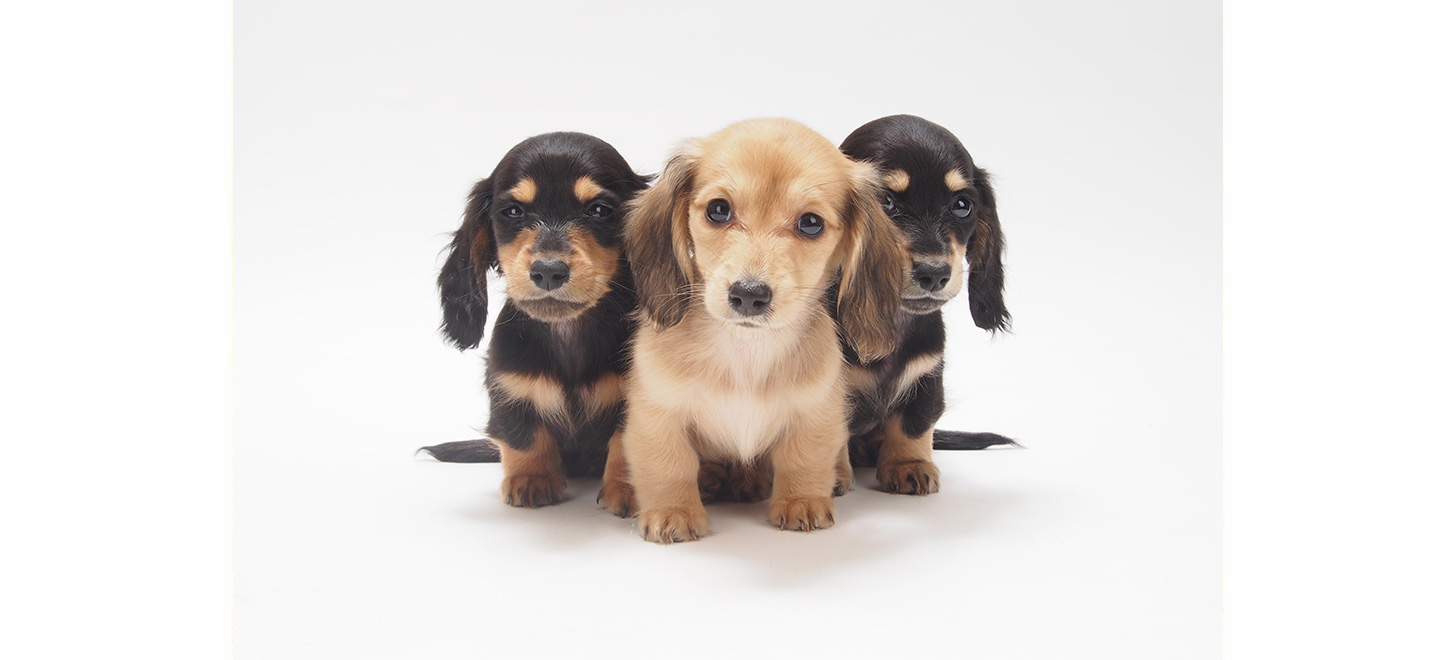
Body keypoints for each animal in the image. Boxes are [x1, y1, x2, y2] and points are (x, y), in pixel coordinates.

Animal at [430, 132, 649, 507]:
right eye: (513, 211)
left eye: (599, 210)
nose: (548, 271)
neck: (567, 332)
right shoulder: (509, 389)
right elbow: (524, 436)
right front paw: (531, 479)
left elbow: (626, 442)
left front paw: (629, 489)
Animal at [612, 118, 906, 543]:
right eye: (719, 210)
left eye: (811, 223)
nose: (749, 295)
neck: (746, 349)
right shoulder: (658, 412)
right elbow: (669, 465)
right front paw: (673, 511)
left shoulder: (816, 410)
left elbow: (804, 458)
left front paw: (801, 501)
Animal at [836, 114, 1010, 494]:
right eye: (886, 202)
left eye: (962, 205)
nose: (934, 273)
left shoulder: (927, 376)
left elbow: (915, 423)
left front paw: (908, 465)